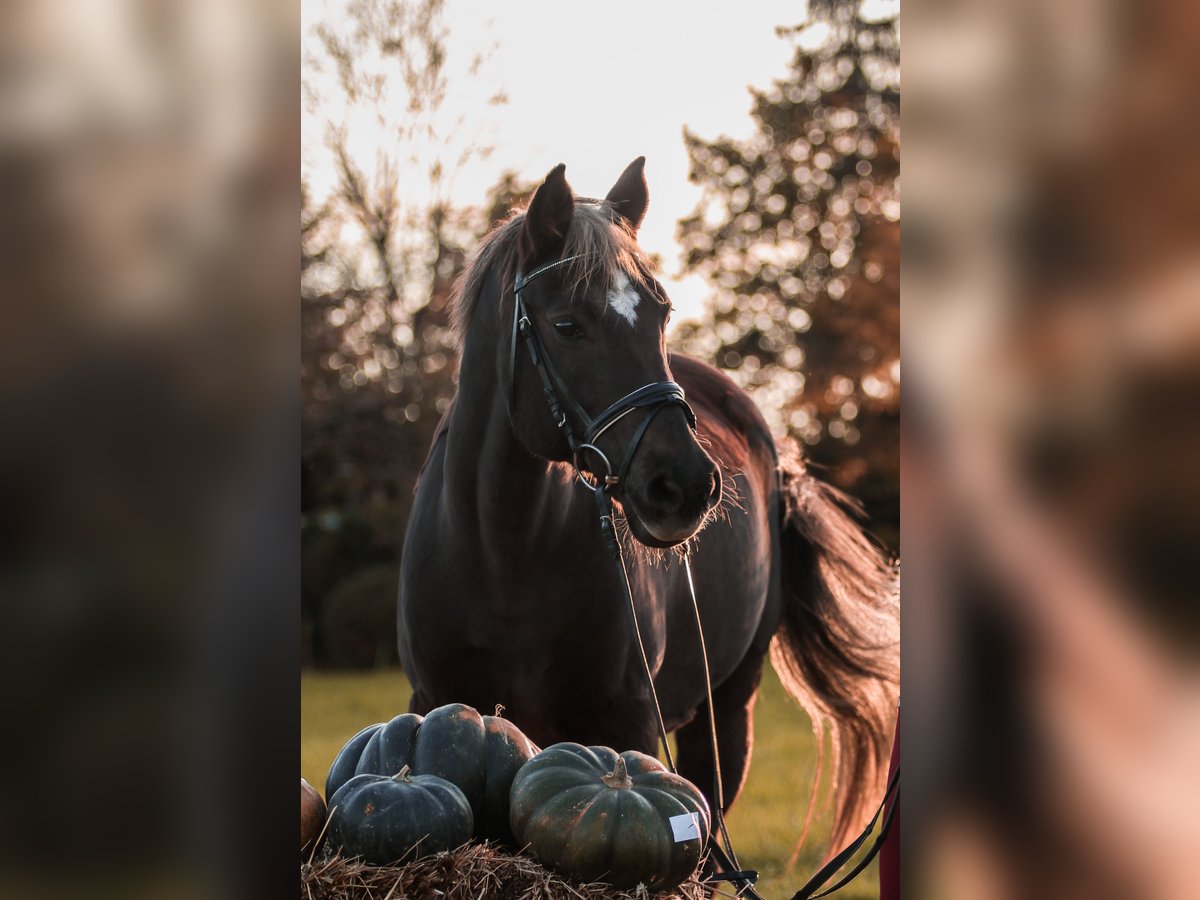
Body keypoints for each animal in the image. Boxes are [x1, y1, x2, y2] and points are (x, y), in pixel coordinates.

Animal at [398, 157, 897, 854]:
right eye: (567, 325)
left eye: (660, 314)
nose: (685, 485)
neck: (504, 553)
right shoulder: (435, 703)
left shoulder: (629, 726)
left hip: (727, 709)